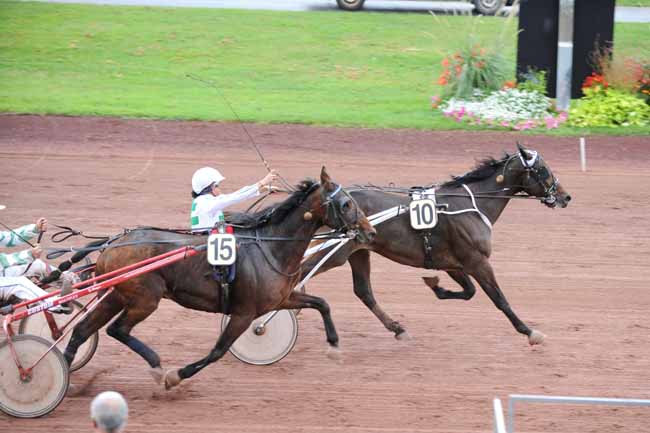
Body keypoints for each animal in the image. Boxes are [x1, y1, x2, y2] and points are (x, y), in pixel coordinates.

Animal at [64, 168, 374, 388]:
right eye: (346, 204)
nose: (370, 232)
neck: (270, 247)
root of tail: (113, 242)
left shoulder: (280, 299)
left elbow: (322, 303)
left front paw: (334, 346)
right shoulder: (243, 313)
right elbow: (218, 351)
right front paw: (177, 375)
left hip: (115, 295)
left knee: (82, 330)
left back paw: (65, 373)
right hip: (145, 299)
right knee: (117, 330)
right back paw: (156, 365)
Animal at [302, 145, 568, 344]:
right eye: (543, 170)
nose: (565, 197)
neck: (472, 205)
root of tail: (328, 203)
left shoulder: (452, 263)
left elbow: (469, 291)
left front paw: (435, 286)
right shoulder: (477, 261)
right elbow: (499, 299)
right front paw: (529, 331)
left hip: (358, 251)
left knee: (364, 291)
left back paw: (397, 328)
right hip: (335, 253)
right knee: (303, 271)